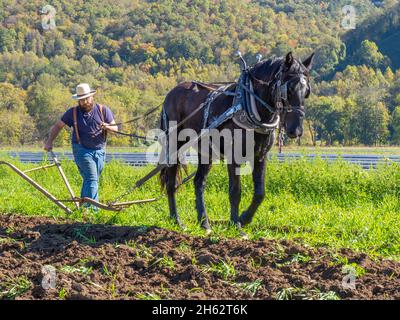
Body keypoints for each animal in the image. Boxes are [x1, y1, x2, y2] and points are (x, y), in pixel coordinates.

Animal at [158, 51, 314, 234]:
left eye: (306, 91)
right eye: (288, 89)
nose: (296, 130)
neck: (250, 106)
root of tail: (171, 94)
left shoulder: (260, 156)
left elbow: (260, 193)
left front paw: (244, 218)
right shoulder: (234, 157)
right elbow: (235, 191)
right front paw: (236, 224)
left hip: (206, 152)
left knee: (199, 182)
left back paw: (205, 223)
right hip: (175, 144)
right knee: (171, 182)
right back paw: (177, 220)